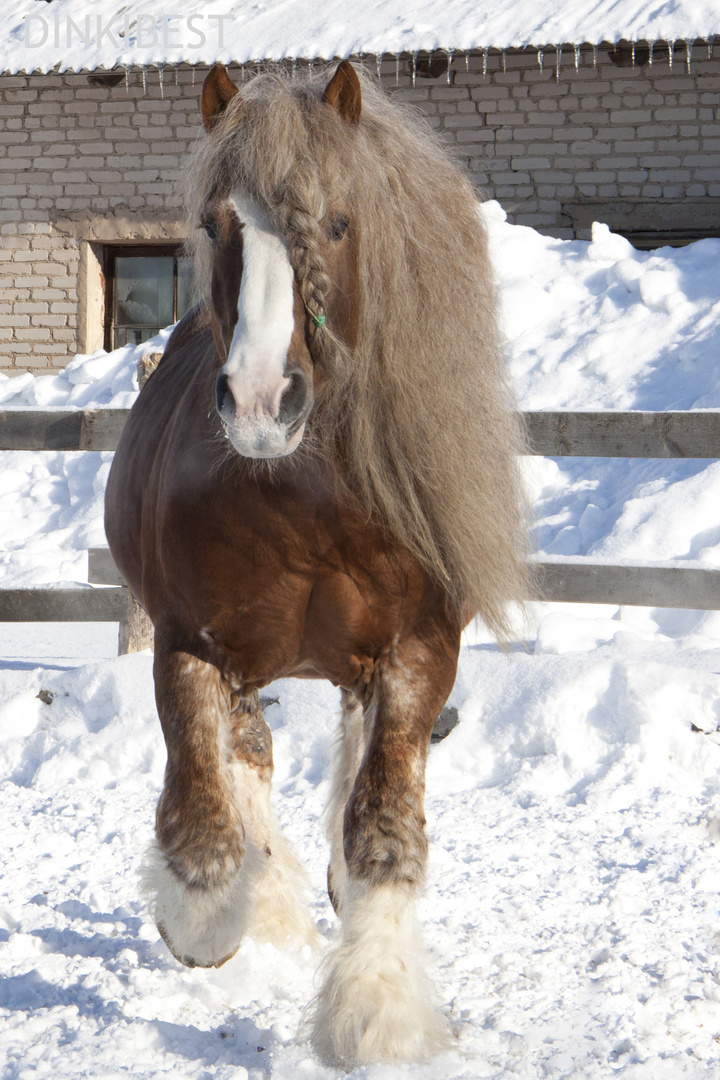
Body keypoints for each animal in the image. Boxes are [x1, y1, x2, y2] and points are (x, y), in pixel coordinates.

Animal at [102, 59, 528, 1062]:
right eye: (215, 225)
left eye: (336, 223)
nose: (262, 402)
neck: (303, 502)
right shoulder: (190, 642)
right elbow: (203, 785)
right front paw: (210, 910)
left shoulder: (418, 650)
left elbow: (383, 817)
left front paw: (376, 1004)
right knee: (247, 752)